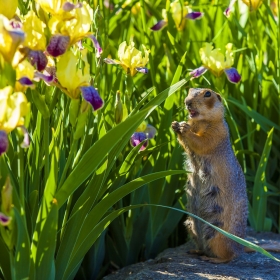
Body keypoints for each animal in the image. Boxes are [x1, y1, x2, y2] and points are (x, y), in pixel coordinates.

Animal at [171, 88, 247, 264]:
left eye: (207, 94)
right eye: (189, 90)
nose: (187, 102)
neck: (200, 121)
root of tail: (241, 248)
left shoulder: (217, 132)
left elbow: (202, 142)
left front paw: (184, 128)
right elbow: (187, 145)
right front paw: (175, 125)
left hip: (218, 234)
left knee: (229, 256)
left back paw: (213, 259)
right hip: (190, 225)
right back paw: (196, 251)